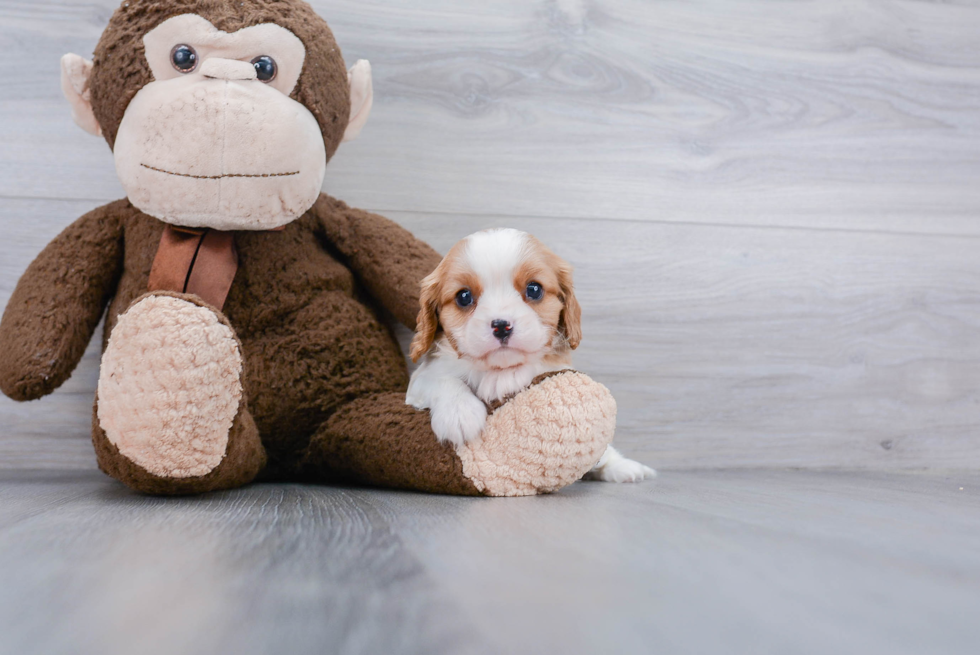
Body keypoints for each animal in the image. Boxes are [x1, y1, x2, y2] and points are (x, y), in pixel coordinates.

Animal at [406, 228, 660, 484]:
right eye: (464, 297)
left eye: (534, 289)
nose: (501, 326)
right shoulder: (419, 381)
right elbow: (440, 380)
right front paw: (458, 414)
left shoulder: (555, 366)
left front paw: (505, 380)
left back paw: (623, 467)